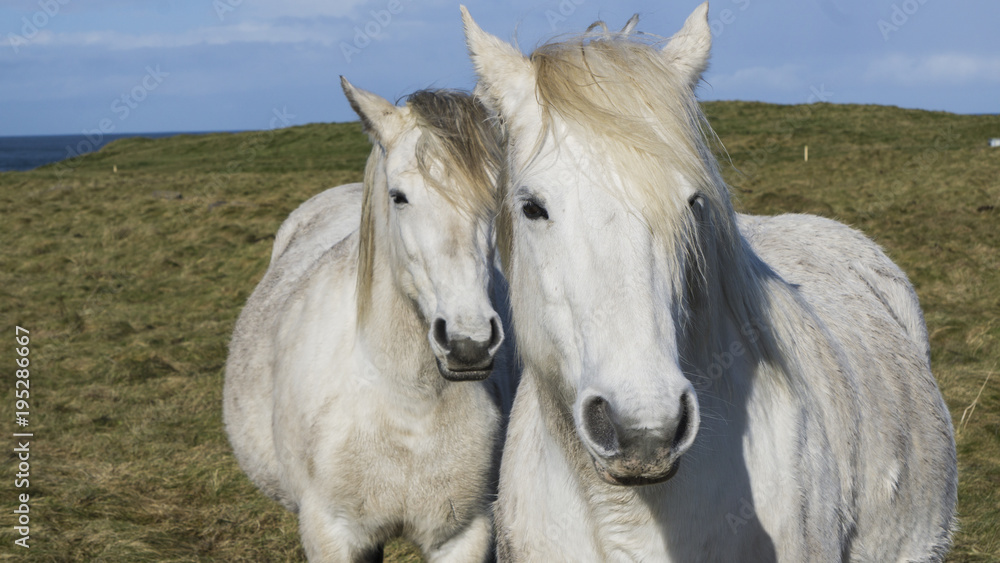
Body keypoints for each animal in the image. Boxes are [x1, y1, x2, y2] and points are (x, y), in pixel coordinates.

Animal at [225, 80, 516, 563]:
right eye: (398, 196)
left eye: (497, 196)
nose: (468, 343)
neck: (408, 403)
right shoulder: (331, 534)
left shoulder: (466, 533)